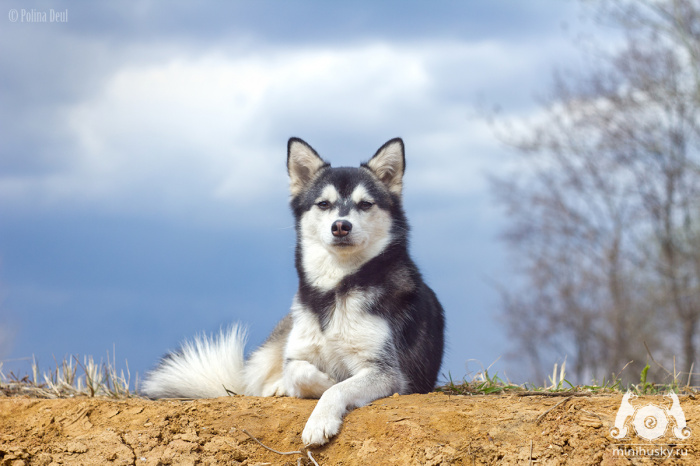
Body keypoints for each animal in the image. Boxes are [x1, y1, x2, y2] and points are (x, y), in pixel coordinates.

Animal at [144, 137, 446, 446]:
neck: (334, 288)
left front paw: (319, 419)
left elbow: (338, 388)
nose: (341, 226)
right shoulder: (297, 353)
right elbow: (298, 371)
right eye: (323, 204)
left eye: (365, 204)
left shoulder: (387, 373)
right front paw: (313, 383)